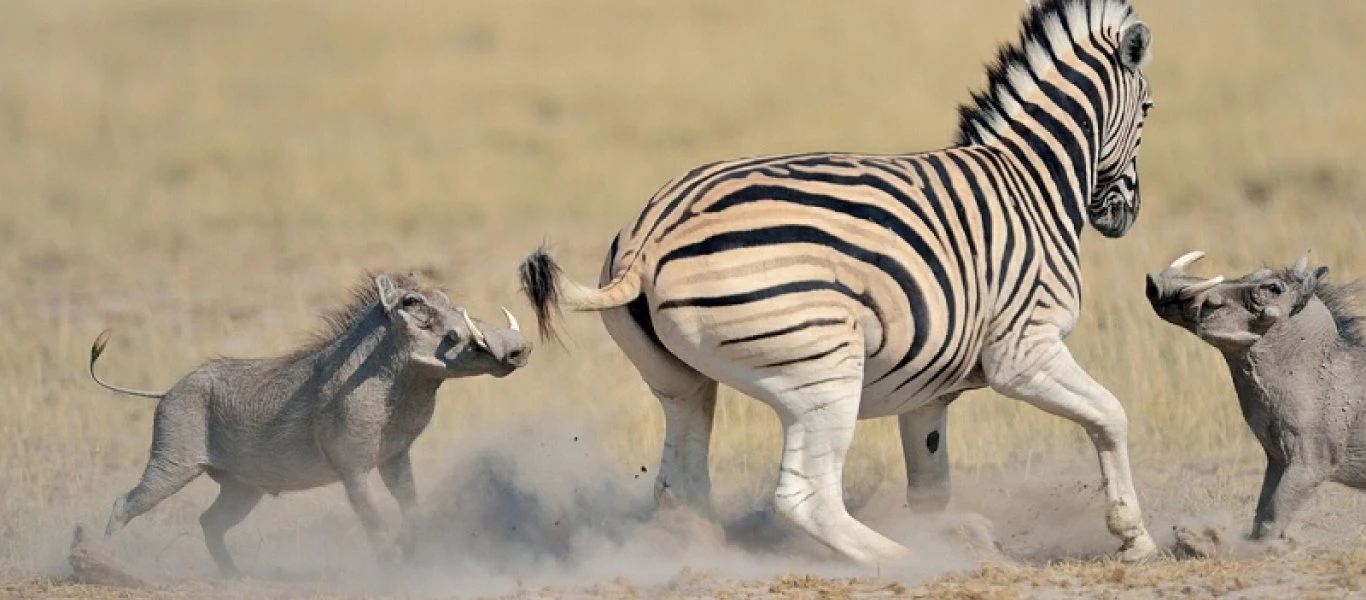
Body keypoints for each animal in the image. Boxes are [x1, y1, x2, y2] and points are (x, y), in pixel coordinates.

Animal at [88, 273, 530, 576]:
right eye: (412, 302)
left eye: (445, 297)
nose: (518, 348)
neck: (398, 383)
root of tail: (165, 392)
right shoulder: (352, 468)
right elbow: (372, 517)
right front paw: (390, 567)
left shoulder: (395, 456)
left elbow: (410, 506)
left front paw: (413, 556)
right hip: (172, 463)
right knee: (126, 502)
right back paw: (100, 560)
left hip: (242, 488)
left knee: (210, 522)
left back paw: (235, 577)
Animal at [516, 0, 1158, 563]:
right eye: (1149, 109)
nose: (1123, 217)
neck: (1033, 182)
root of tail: (652, 233)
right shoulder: (1024, 350)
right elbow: (1111, 414)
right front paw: (1133, 536)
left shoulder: (930, 389)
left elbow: (931, 486)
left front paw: (948, 536)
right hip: (825, 368)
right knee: (805, 498)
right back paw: (903, 562)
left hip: (682, 382)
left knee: (682, 485)